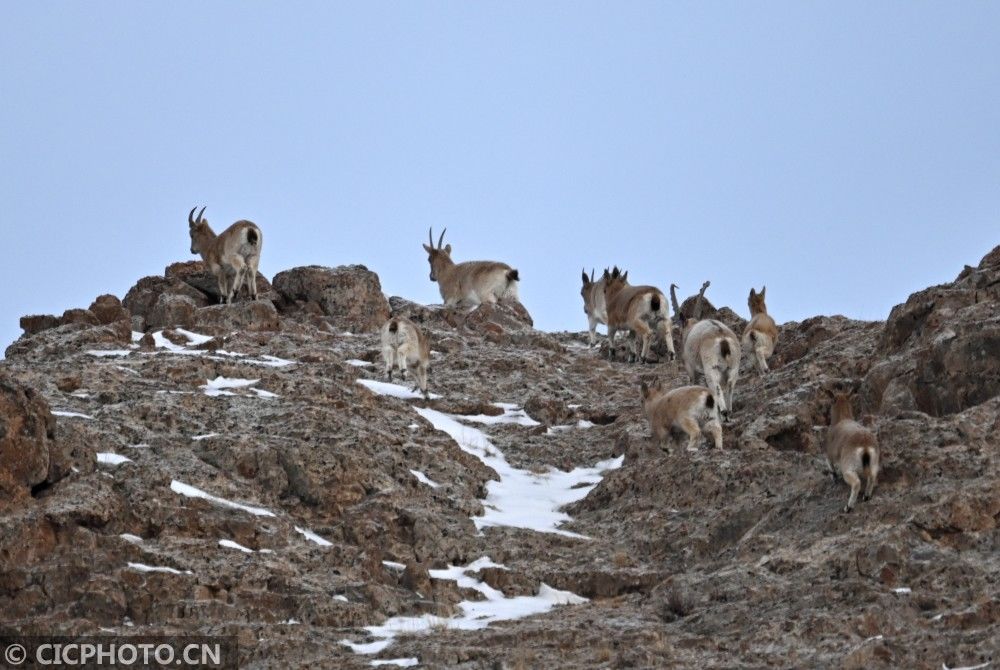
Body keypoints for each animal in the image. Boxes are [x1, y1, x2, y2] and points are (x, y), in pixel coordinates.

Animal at [668, 282, 740, 420]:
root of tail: (722, 338)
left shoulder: (690, 367)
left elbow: (693, 382)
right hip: (733, 367)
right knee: (730, 386)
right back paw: (729, 412)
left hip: (711, 366)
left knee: (716, 387)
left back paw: (723, 412)